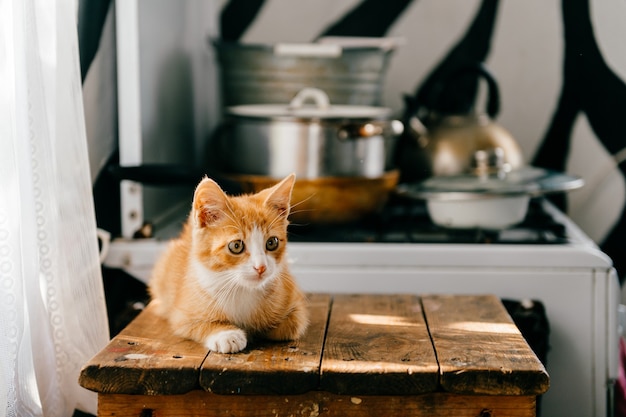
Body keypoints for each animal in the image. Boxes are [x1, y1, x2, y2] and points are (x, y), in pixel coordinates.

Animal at [149, 174, 310, 352]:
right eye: (236, 246)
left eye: (272, 242)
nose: (261, 267)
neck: (241, 289)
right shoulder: (181, 314)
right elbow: (193, 324)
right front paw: (226, 335)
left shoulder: (296, 306)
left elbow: (291, 326)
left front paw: (256, 330)